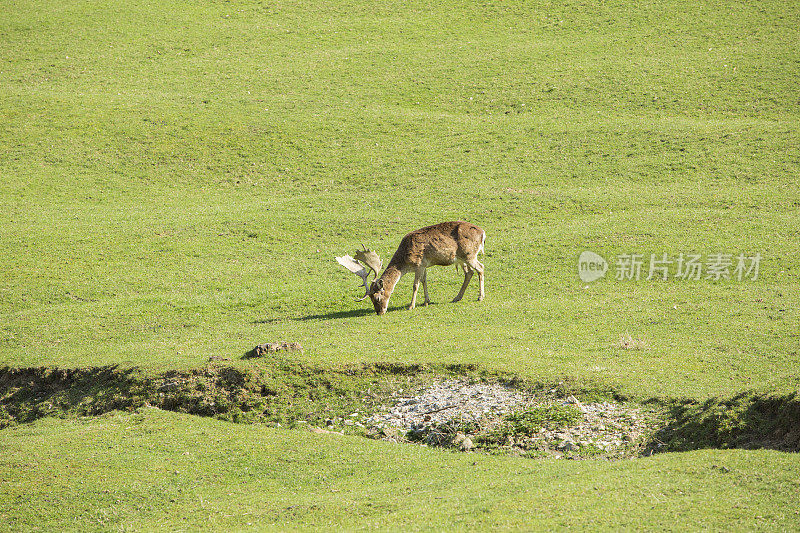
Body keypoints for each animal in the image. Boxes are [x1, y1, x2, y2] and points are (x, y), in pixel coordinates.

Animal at [336, 221, 484, 314]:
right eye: (371, 300)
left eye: (377, 298)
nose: (379, 312)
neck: (404, 262)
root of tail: (483, 233)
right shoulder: (424, 266)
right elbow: (424, 282)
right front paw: (426, 301)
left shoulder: (419, 264)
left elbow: (415, 285)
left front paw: (411, 306)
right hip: (462, 259)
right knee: (469, 273)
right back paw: (457, 297)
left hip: (469, 254)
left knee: (481, 268)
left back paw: (480, 297)